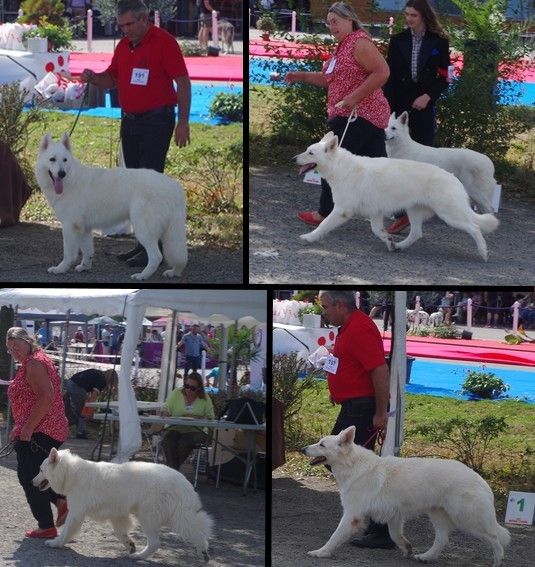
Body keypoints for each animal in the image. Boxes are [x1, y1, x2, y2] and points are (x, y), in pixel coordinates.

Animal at [31, 448, 214, 564]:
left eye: (40, 470)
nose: (32, 482)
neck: (71, 472)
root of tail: (183, 482)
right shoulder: (117, 515)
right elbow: (120, 533)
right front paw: (130, 545)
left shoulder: (76, 512)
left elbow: (67, 530)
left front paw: (56, 543)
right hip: (171, 516)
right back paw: (203, 551)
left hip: (150, 517)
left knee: (157, 542)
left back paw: (139, 557)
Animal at [34, 134, 187, 284]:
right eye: (52, 159)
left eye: (65, 160)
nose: (62, 173)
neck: (70, 181)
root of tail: (174, 186)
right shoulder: (84, 228)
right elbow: (87, 251)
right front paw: (85, 266)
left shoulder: (69, 227)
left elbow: (68, 254)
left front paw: (61, 269)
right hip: (169, 234)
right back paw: (174, 272)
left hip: (143, 229)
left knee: (156, 256)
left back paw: (142, 275)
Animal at [296, 132, 500, 260]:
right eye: (306, 149)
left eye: (310, 153)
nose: (293, 159)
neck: (340, 167)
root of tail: (453, 178)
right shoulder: (375, 212)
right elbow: (377, 231)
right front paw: (388, 241)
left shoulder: (341, 211)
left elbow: (323, 224)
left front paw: (309, 237)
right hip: (414, 211)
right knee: (416, 233)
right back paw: (399, 246)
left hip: (450, 215)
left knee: (474, 228)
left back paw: (483, 252)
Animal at [302, 428, 510, 564]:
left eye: (321, 444)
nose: (302, 449)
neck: (352, 465)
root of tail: (480, 479)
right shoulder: (394, 516)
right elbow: (395, 536)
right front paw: (407, 548)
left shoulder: (352, 515)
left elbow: (335, 536)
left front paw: (321, 552)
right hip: (438, 514)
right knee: (442, 539)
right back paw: (426, 557)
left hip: (468, 519)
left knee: (494, 537)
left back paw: (498, 560)